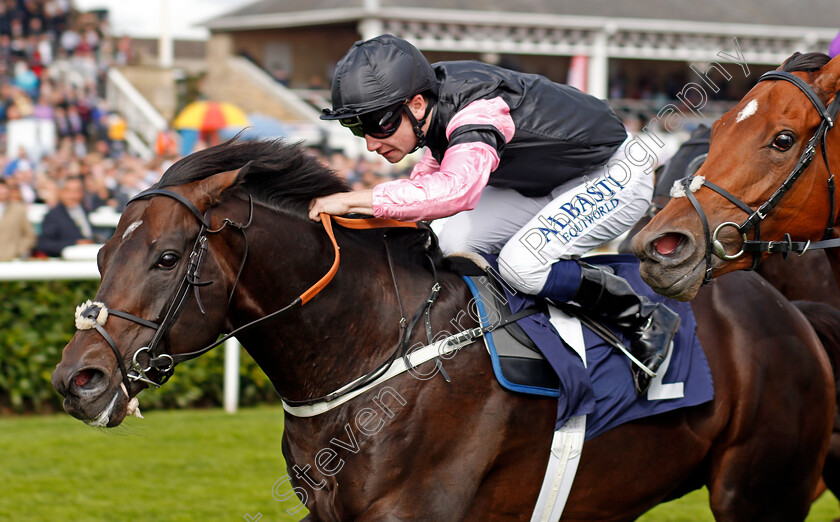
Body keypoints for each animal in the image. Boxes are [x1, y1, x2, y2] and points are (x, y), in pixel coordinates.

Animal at [54, 140, 840, 516]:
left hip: (758, 492)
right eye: (98, 254)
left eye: (164, 257)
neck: (373, 353)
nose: (76, 380)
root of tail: (788, 314)